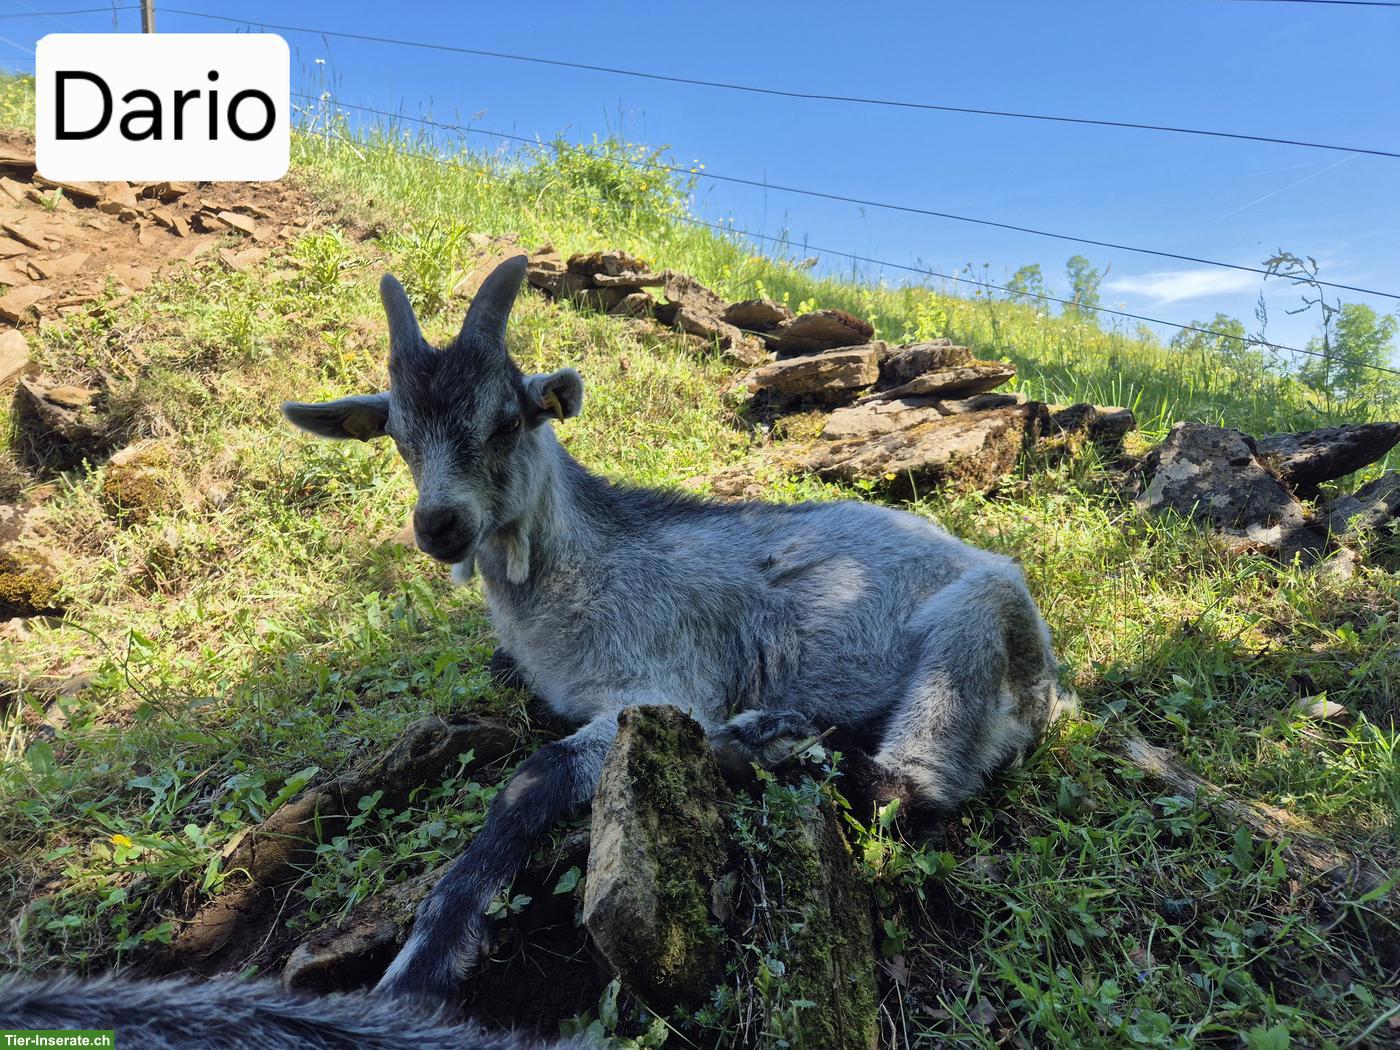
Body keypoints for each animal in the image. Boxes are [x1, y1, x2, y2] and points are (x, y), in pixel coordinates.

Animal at [283, 255, 1066, 1005]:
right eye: (398, 437)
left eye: (506, 421)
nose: (438, 525)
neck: (580, 574)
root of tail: (1055, 693)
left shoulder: (664, 683)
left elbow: (530, 779)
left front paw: (424, 961)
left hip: (982, 619)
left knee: (908, 788)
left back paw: (765, 739)